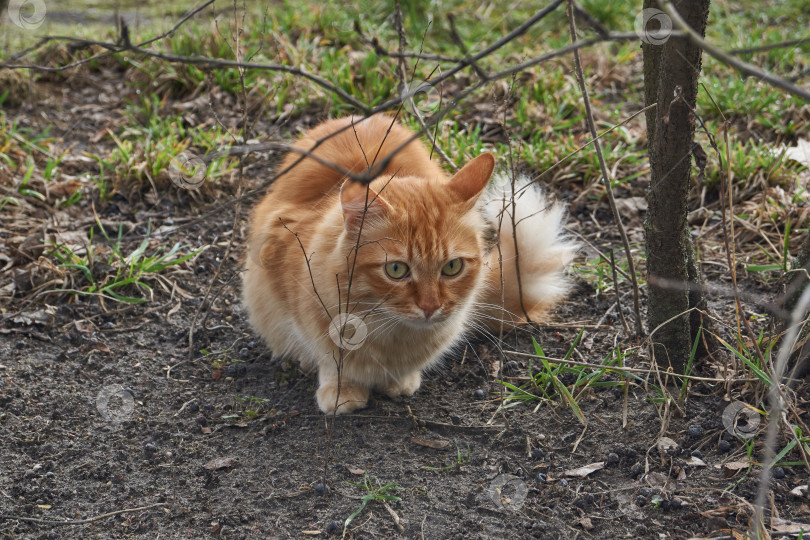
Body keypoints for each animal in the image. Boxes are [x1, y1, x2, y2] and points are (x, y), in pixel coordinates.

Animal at [240, 115, 576, 414]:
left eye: (452, 267)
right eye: (396, 270)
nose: (430, 307)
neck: (392, 335)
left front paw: (399, 382)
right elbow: (331, 362)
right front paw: (341, 392)